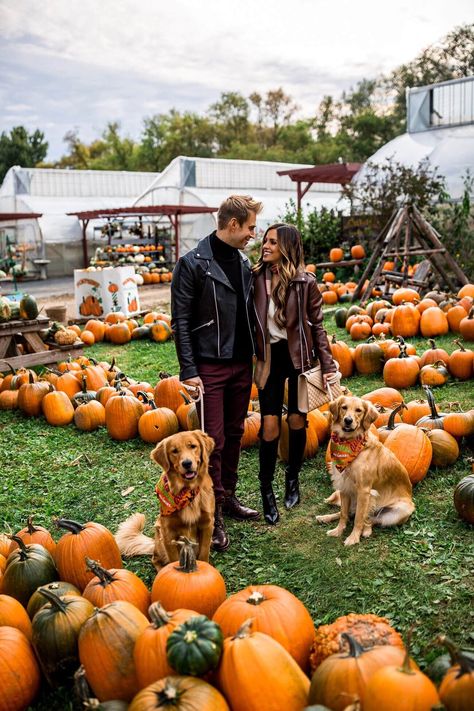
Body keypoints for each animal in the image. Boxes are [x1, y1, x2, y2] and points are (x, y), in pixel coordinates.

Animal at [115, 428, 216, 572]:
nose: (187, 463)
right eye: (174, 451)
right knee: (155, 559)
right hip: (160, 538)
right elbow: (173, 560)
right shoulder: (168, 532)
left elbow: (204, 553)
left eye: (193, 446)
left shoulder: (207, 524)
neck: (186, 490)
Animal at [318, 394, 414, 544]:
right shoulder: (344, 486)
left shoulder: (364, 490)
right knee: (351, 514)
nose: (348, 420)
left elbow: (359, 518)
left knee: (371, 519)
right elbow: (343, 514)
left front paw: (353, 538)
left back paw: (366, 530)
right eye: (344, 407)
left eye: (359, 410)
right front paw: (338, 531)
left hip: (398, 511)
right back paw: (324, 518)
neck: (350, 443)